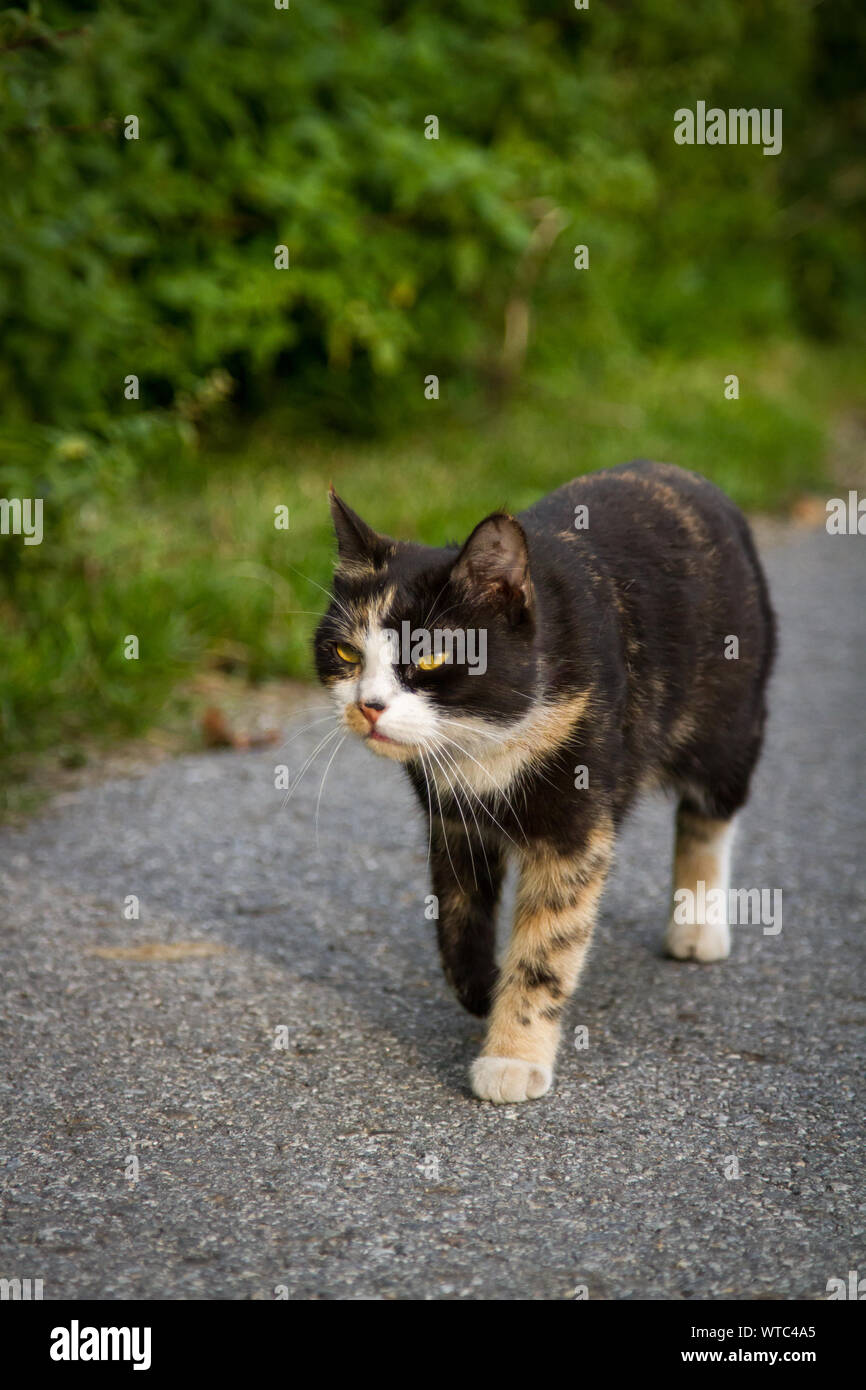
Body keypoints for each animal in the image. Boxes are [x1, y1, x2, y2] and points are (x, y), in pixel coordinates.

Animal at [312, 461, 778, 1100]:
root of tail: (686, 476)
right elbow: (457, 912)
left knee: (710, 814)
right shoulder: (451, 818)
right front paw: (481, 988)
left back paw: (697, 926)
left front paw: (512, 1056)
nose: (368, 706)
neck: (489, 738)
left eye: (429, 657)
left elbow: (547, 947)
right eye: (345, 653)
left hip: (729, 723)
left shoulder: (573, 832)